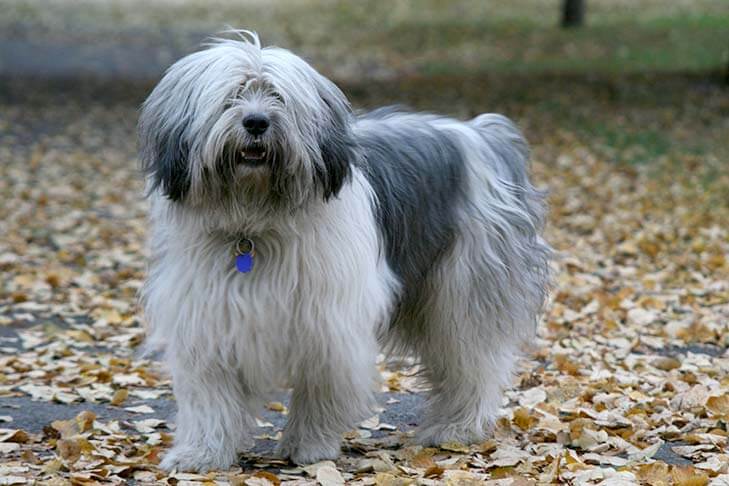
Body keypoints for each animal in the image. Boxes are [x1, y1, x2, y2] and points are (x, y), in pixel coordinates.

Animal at [136, 30, 548, 470]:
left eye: (278, 97)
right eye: (232, 96)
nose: (256, 122)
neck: (254, 225)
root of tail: (484, 135)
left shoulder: (328, 322)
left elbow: (321, 385)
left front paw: (308, 446)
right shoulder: (208, 316)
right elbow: (209, 394)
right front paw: (200, 453)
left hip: (465, 288)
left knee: (472, 359)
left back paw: (457, 429)